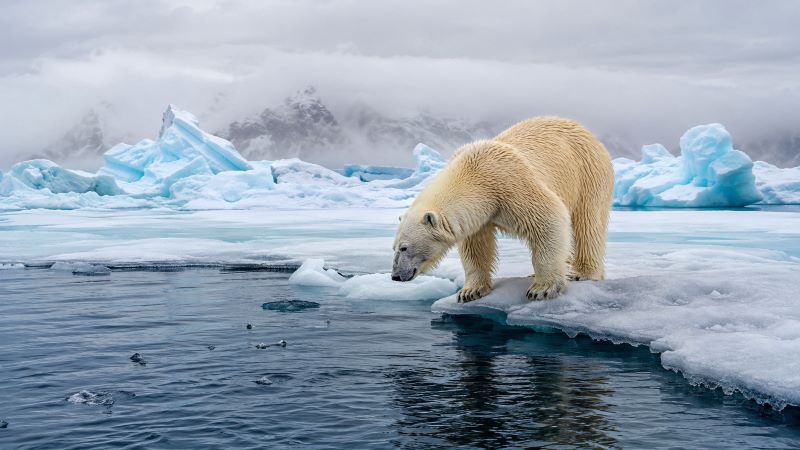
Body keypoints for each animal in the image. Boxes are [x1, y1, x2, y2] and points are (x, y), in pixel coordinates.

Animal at [391, 116, 614, 302]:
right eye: (394, 247)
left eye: (404, 247)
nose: (395, 276)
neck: (473, 174)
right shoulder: (480, 214)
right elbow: (476, 247)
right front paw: (470, 291)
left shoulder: (510, 183)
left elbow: (548, 218)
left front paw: (542, 288)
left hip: (588, 173)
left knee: (588, 222)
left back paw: (581, 272)